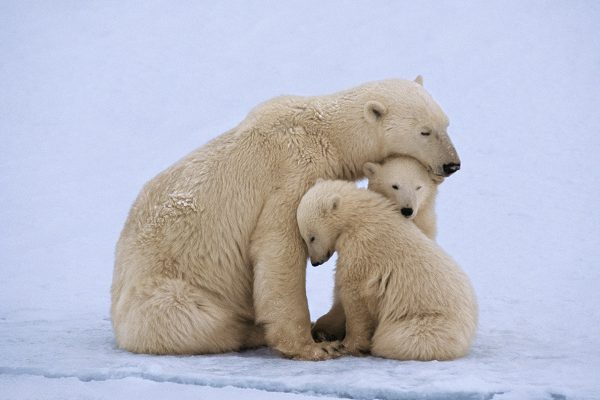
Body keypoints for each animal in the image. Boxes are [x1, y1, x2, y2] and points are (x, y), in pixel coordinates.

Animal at [111, 76, 460, 360]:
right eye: (424, 131)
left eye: (446, 123)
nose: (452, 164)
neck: (324, 134)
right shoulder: (291, 172)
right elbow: (279, 248)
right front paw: (314, 347)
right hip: (166, 289)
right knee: (192, 317)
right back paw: (248, 330)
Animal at [300, 180, 478, 360]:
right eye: (305, 237)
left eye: (311, 237)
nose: (315, 262)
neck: (360, 216)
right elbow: (341, 294)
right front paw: (322, 330)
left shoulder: (362, 246)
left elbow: (353, 292)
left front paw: (347, 345)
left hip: (428, 323)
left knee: (394, 339)